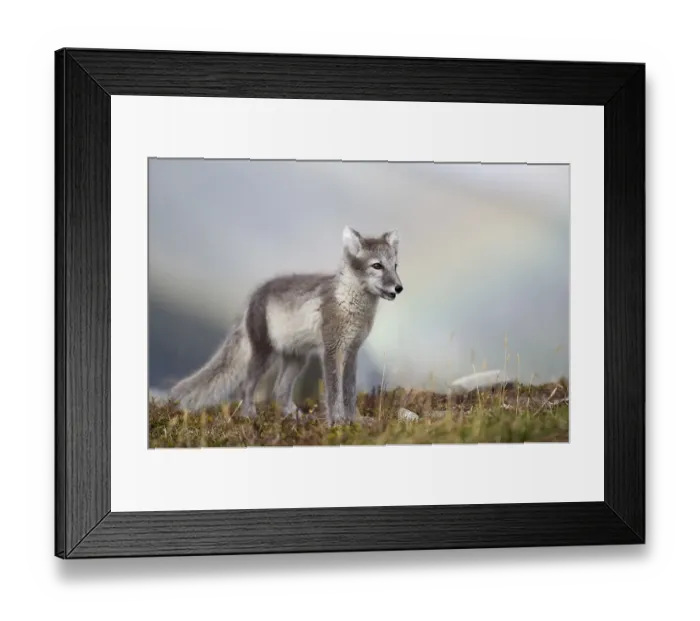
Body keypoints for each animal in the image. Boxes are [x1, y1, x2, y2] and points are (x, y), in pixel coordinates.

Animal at [168, 226, 403, 424]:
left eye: (395, 266)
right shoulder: (331, 349)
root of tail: (255, 295)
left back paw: (294, 415)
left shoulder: (352, 351)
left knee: (280, 390)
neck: (350, 305)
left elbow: (350, 392)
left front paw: (356, 420)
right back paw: (249, 415)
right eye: (377, 266)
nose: (399, 288)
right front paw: (337, 422)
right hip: (264, 354)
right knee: (247, 386)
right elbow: (334, 391)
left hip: (297, 358)